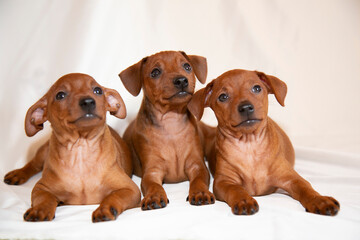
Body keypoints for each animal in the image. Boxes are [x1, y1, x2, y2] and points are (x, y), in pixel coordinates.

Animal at [4, 72, 142, 221]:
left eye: (98, 91)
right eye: (60, 95)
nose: (88, 101)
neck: (81, 150)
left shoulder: (130, 189)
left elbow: (114, 196)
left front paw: (105, 209)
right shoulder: (41, 188)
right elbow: (45, 198)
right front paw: (40, 209)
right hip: (44, 151)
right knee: (33, 164)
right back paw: (18, 173)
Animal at [119, 51, 214, 210]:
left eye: (187, 66)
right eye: (155, 72)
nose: (181, 80)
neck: (171, 122)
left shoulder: (197, 165)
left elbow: (199, 180)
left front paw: (200, 192)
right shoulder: (152, 171)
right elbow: (153, 185)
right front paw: (154, 196)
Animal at [188, 69, 340, 216]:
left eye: (256, 88)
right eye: (223, 97)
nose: (246, 107)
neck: (249, 146)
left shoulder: (291, 178)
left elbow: (305, 188)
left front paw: (320, 200)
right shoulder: (223, 181)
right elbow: (235, 189)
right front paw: (244, 200)